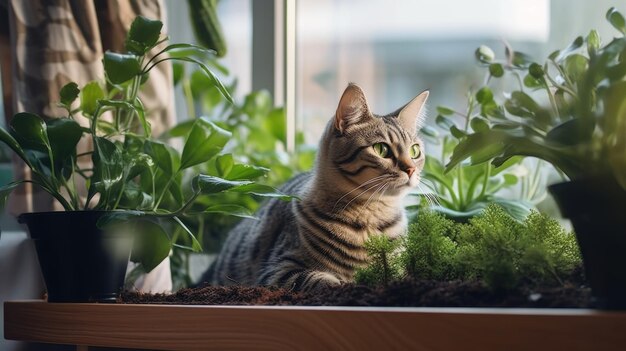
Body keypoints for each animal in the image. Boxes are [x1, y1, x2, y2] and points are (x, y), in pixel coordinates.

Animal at [202, 84, 426, 292]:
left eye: (414, 151)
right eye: (381, 149)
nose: (411, 169)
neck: (371, 216)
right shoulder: (278, 270)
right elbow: (319, 279)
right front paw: (341, 284)